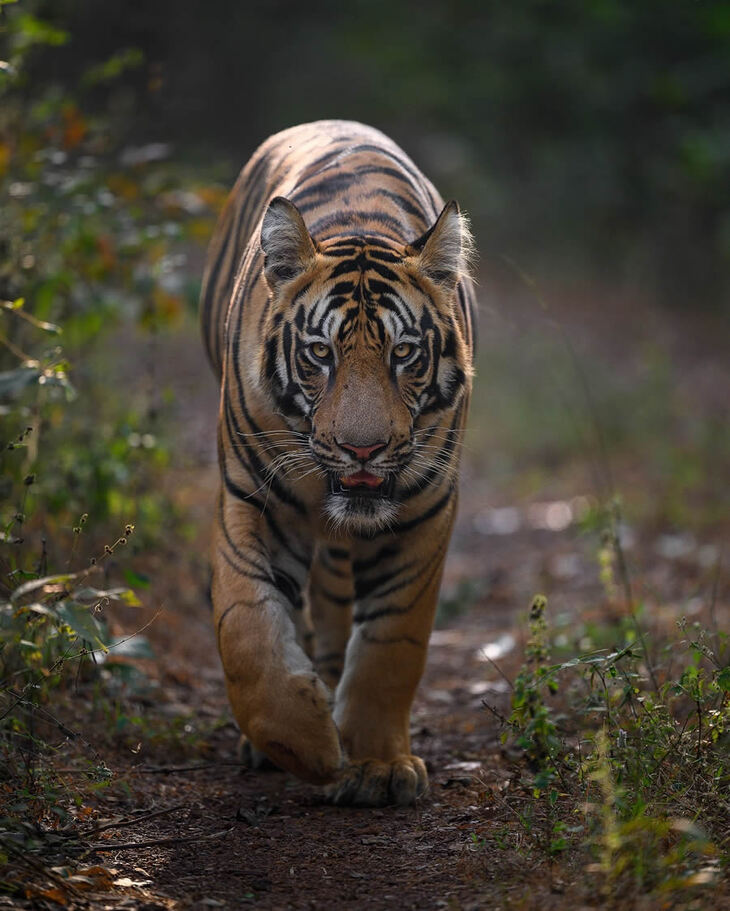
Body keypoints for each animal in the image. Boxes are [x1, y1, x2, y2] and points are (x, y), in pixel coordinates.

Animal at [199, 119, 474, 804]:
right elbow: (247, 628)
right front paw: (308, 747)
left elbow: (391, 644)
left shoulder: (423, 513)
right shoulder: (253, 499)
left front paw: (376, 765)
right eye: (320, 353)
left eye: (404, 353)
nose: (363, 448)